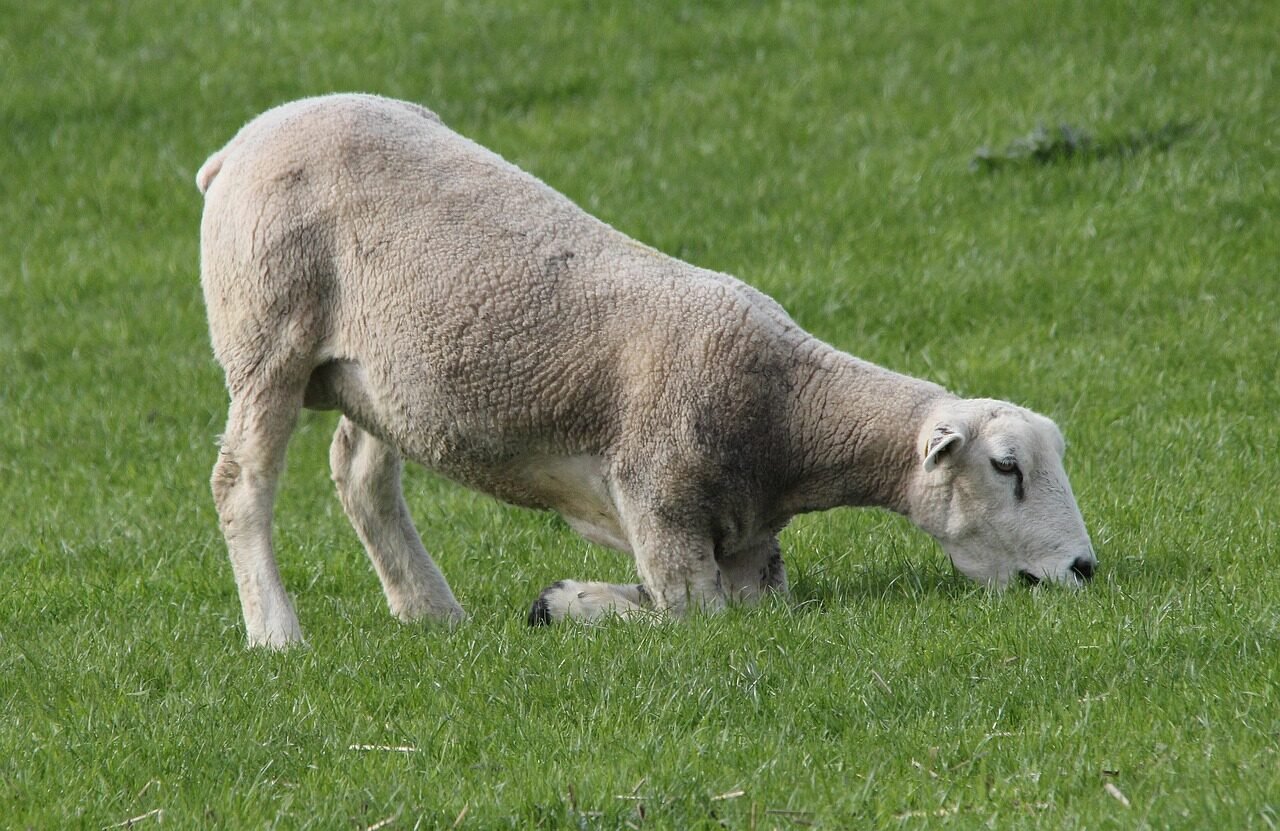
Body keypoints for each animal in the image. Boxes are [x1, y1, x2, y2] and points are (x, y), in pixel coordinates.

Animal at [196, 93, 1097, 648]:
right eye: (1006, 467)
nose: (1085, 569)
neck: (790, 411)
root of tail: (240, 142)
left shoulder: (747, 540)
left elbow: (748, 608)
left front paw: (563, 602)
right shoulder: (660, 502)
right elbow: (688, 615)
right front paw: (565, 602)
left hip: (381, 373)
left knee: (361, 473)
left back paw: (432, 611)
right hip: (266, 330)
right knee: (241, 480)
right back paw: (276, 631)